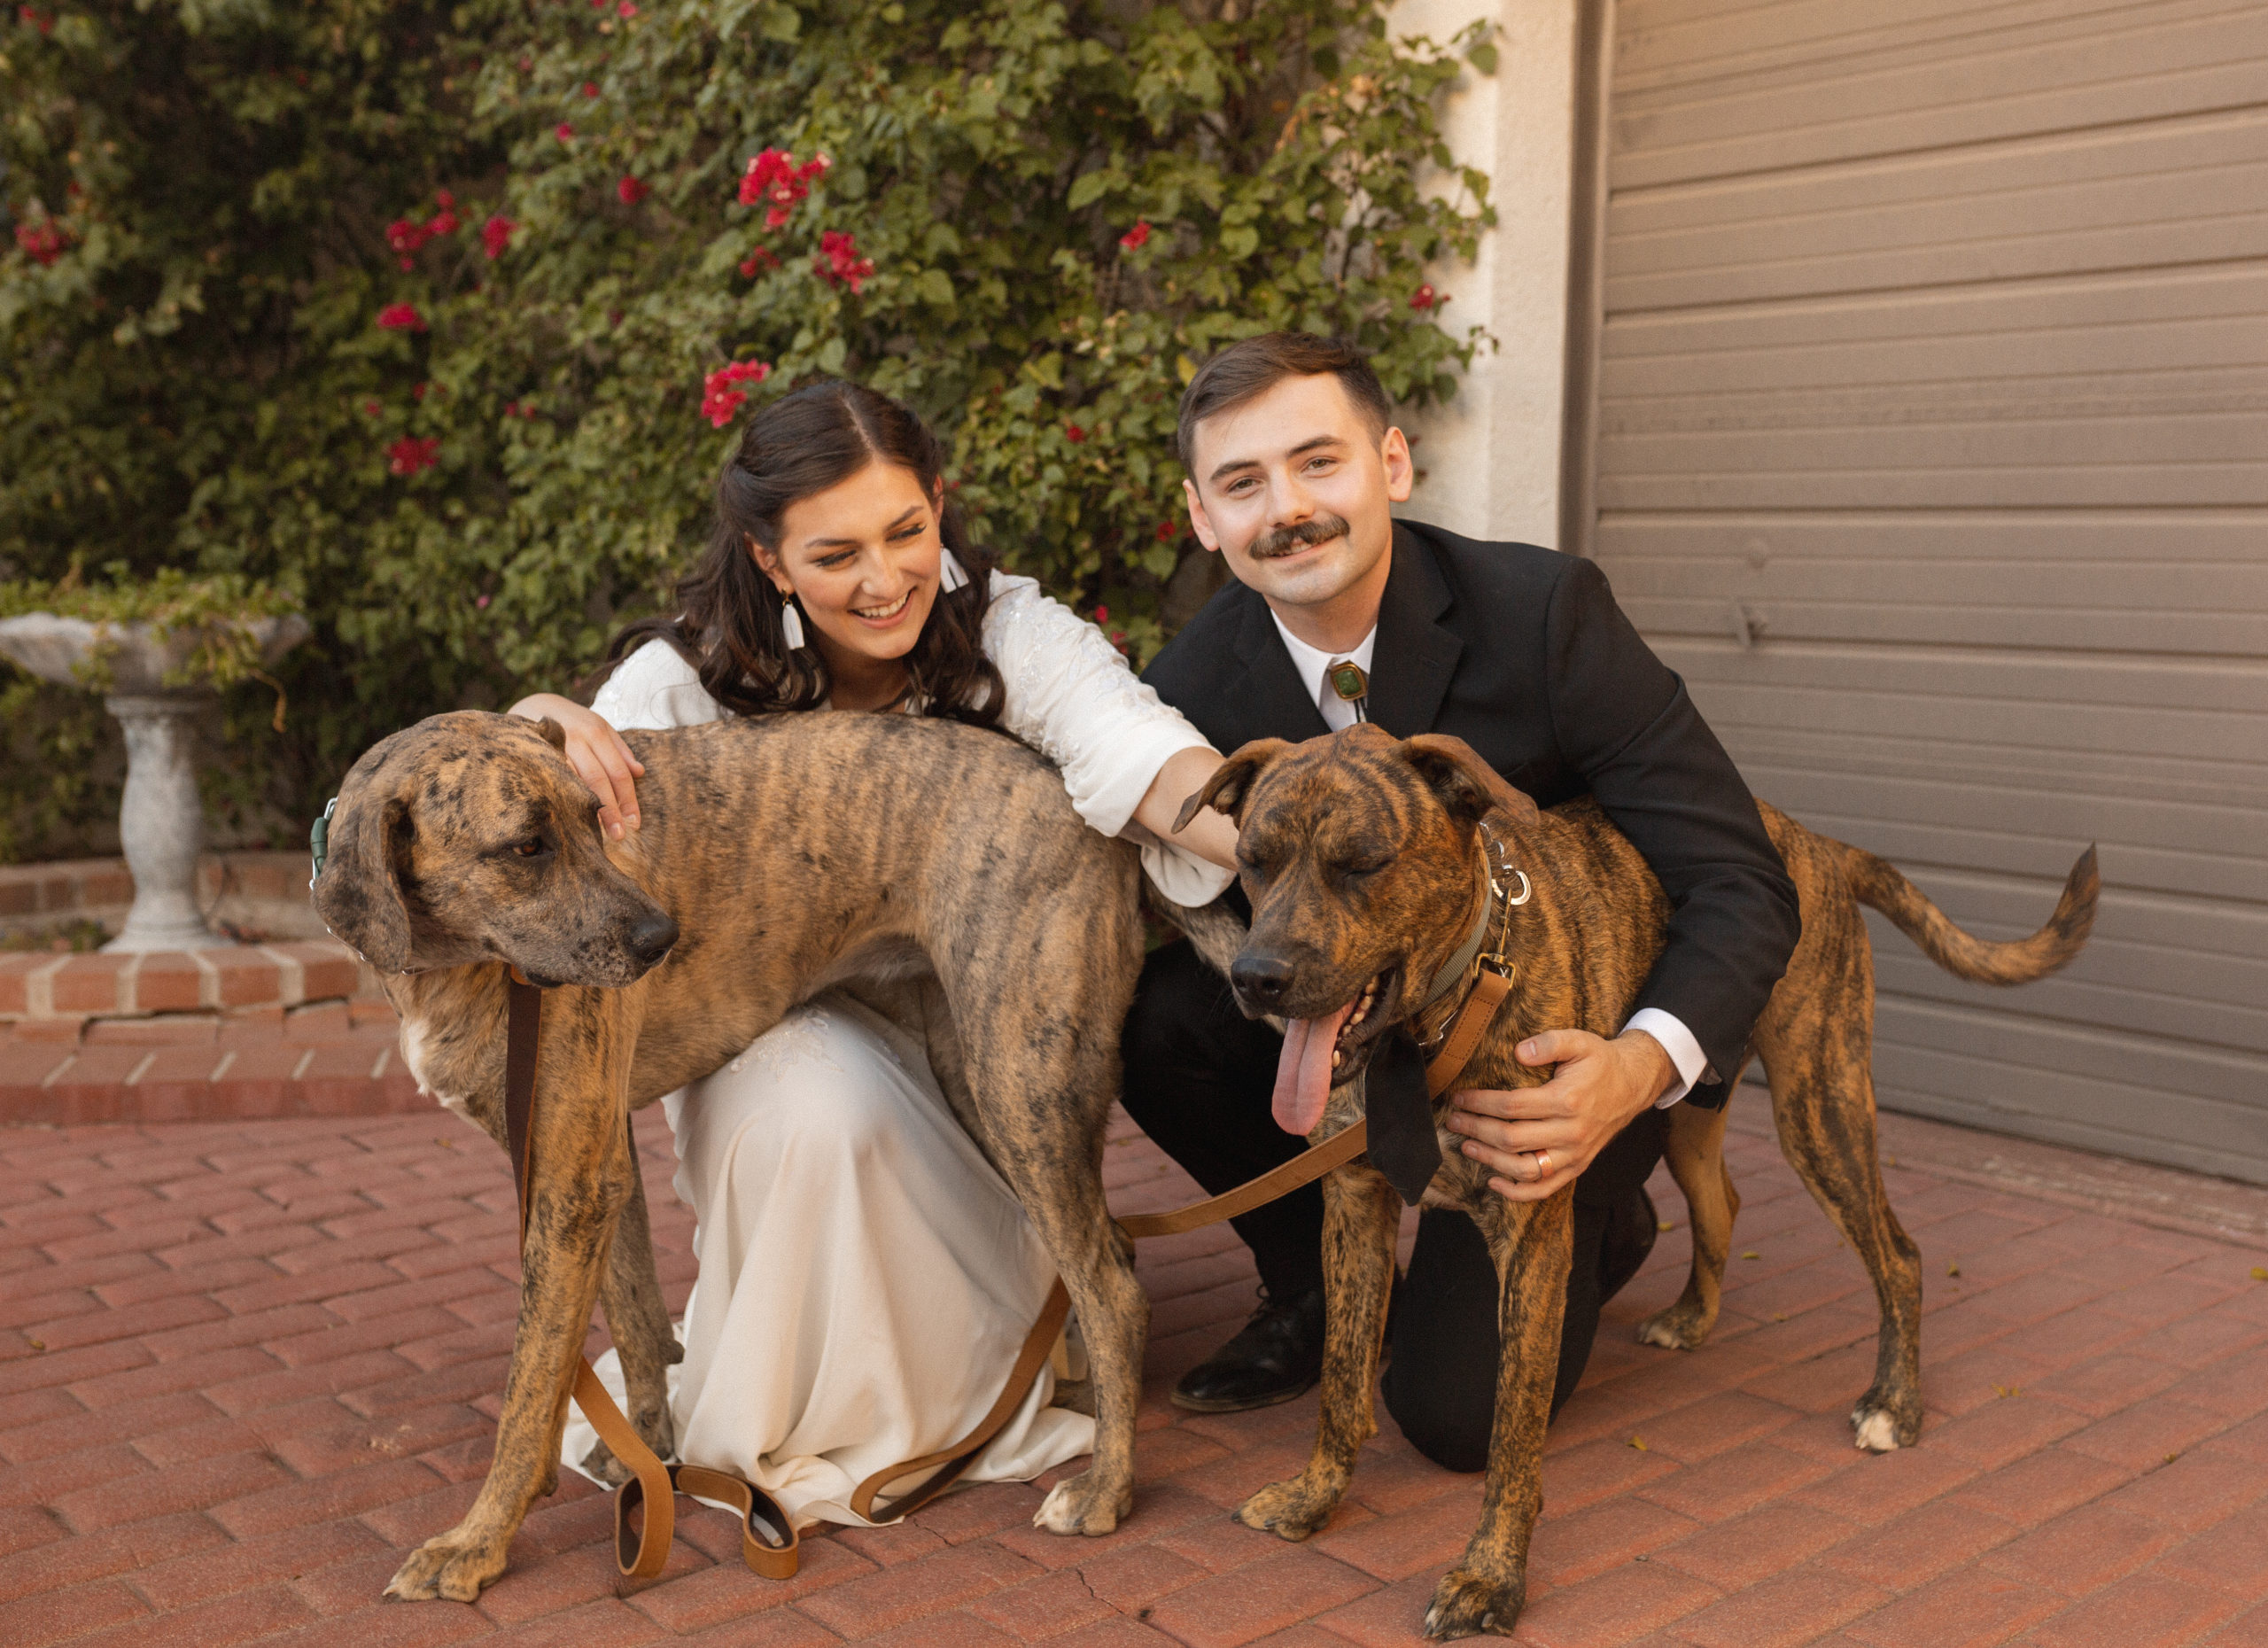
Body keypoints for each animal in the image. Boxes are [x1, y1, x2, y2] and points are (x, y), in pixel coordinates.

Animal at [1179, 729, 2095, 1641]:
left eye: (1364, 864)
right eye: (1252, 860)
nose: (1255, 977)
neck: (1441, 1012)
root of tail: (1813, 842)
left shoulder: (1531, 1234)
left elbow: (1511, 1432)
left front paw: (1491, 1578)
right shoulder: (1353, 1205)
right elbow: (1341, 1378)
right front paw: (1314, 1499)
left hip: (1819, 1100)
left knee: (1898, 1254)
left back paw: (1894, 1406)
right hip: (1691, 1110)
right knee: (1723, 1202)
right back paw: (1693, 1317)